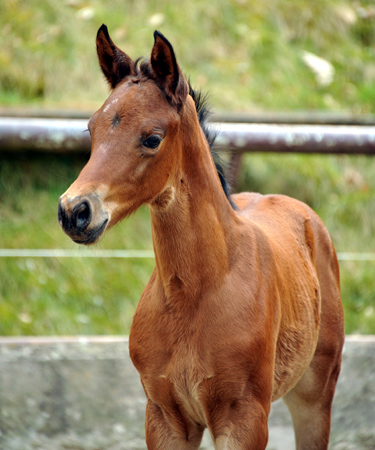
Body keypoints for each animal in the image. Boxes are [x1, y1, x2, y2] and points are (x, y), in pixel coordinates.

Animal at [58, 25, 344, 450]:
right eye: (91, 127)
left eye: (152, 138)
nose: (74, 210)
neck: (193, 295)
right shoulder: (164, 417)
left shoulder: (243, 420)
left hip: (315, 396)